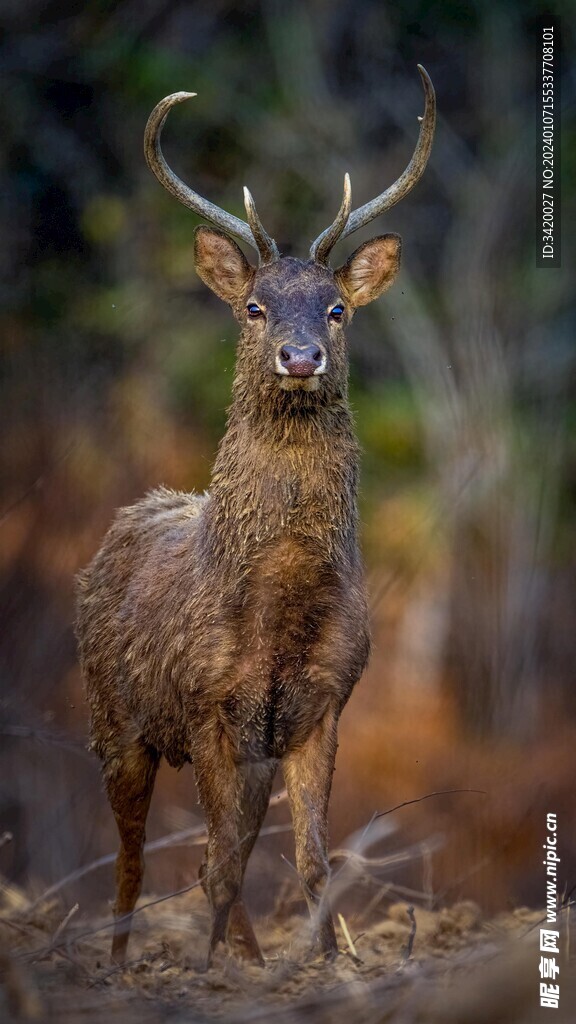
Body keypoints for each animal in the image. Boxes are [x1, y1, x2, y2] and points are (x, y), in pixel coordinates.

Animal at [77, 66, 434, 966]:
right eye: (254, 308)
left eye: (338, 309)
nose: (300, 357)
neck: (276, 605)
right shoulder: (207, 705)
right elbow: (220, 864)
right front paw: (214, 973)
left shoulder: (322, 706)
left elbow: (310, 860)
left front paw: (330, 963)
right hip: (113, 716)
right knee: (136, 855)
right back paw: (122, 962)